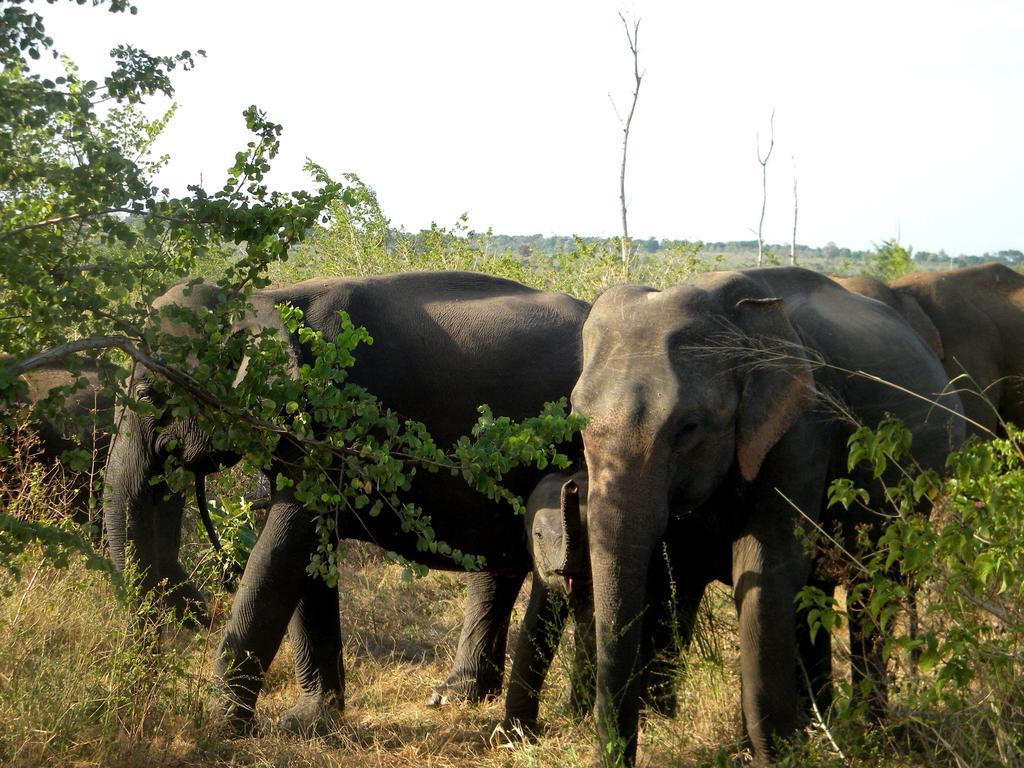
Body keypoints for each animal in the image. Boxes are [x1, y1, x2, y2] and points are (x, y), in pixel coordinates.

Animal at [104, 272, 589, 733]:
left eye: (147, 395)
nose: (139, 708)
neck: (262, 299)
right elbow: (309, 555)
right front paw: (310, 721)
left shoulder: (331, 420)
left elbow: (282, 548)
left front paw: (223, 728)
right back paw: (453, 696)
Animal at [501, 473, 684, 737]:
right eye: (538, 535)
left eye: (587, 535)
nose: (570, 487)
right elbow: (539, 622)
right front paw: (515, 733)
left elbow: (591, 627)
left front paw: (579, 717)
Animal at [573, 268, 962, 765]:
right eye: (576, 419)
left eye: (688, 428)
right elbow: (672, 579)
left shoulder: (800, 432)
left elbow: (764, 572)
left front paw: (779, 755)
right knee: (816, 592)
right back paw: (824, 725)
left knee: (873, 589)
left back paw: (870, 732)